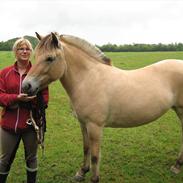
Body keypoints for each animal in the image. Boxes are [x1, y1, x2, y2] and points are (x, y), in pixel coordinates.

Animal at [21, 32, 183, 182]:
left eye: (50, 58)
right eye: (35, 56)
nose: (26, 86)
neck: (88, 79)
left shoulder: (95, 126)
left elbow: (95, 156)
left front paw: (94, 178)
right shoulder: (83, 123)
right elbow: (86, 148)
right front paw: (82, 172)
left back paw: (177, 166)